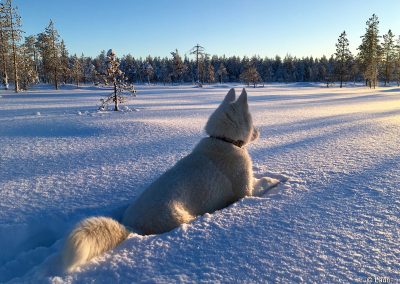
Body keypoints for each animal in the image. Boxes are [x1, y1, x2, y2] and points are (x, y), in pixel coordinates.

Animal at [63, 87, 282, 272]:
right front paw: (279, 180)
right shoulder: (246, 192)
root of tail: (133, 227)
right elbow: (263, 184)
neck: (224, 140)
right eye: (252, 120)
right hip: (181, 216)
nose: (260, 132)